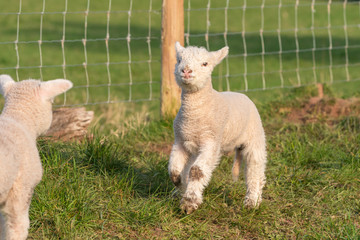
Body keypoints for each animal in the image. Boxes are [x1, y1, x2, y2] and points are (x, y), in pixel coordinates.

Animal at [169, 42, 268, 214]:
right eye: (179, 60)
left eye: (205, 64)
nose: (186, 71)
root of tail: (241, 94)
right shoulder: (180, 141)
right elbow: (175, 172)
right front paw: (181, 189)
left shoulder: (211, 141)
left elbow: (197, 171)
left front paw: (189, 203)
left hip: (255, 135)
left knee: (255, 168)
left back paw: (252, 202)